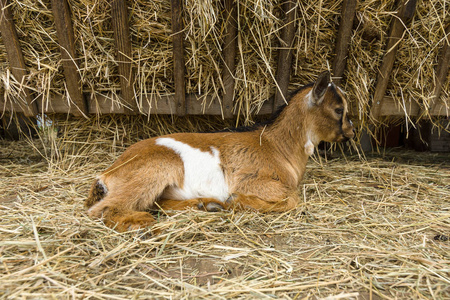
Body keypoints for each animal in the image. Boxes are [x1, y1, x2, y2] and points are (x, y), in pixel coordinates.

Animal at [86, 72, 356, 232]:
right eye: (338, 109)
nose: (351, 130)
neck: (276, 146)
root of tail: (108, 172)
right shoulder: (251, 180)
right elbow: (292, 198)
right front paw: (236, 201)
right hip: (153, 170)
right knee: (102, 210)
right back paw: (140, 223)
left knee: (158, 203)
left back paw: (206, 205)